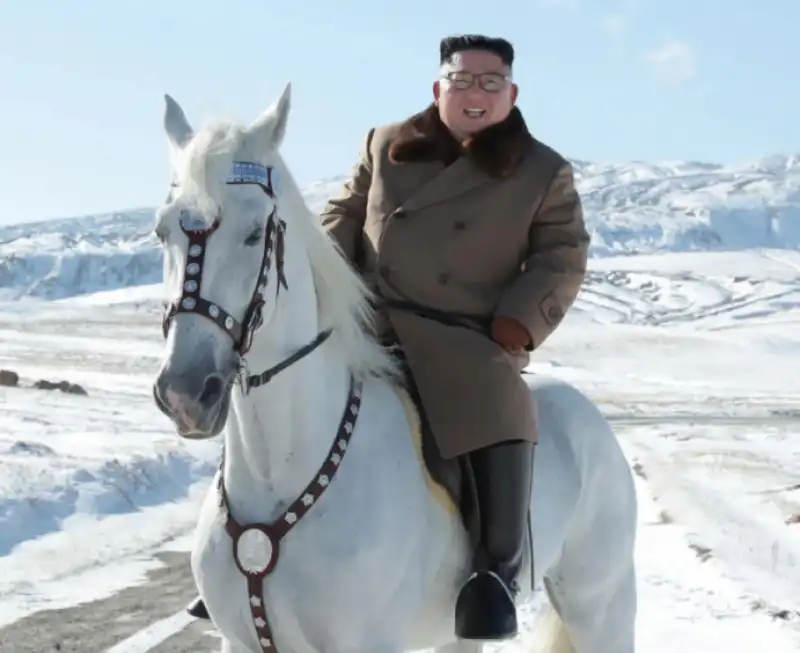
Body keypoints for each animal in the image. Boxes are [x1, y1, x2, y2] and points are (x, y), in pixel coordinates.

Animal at [148, 83, 636, 652]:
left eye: (255, 232)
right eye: (162, 233)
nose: (186, 392)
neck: (279, 472)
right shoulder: (240, 642)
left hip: (600, 604)